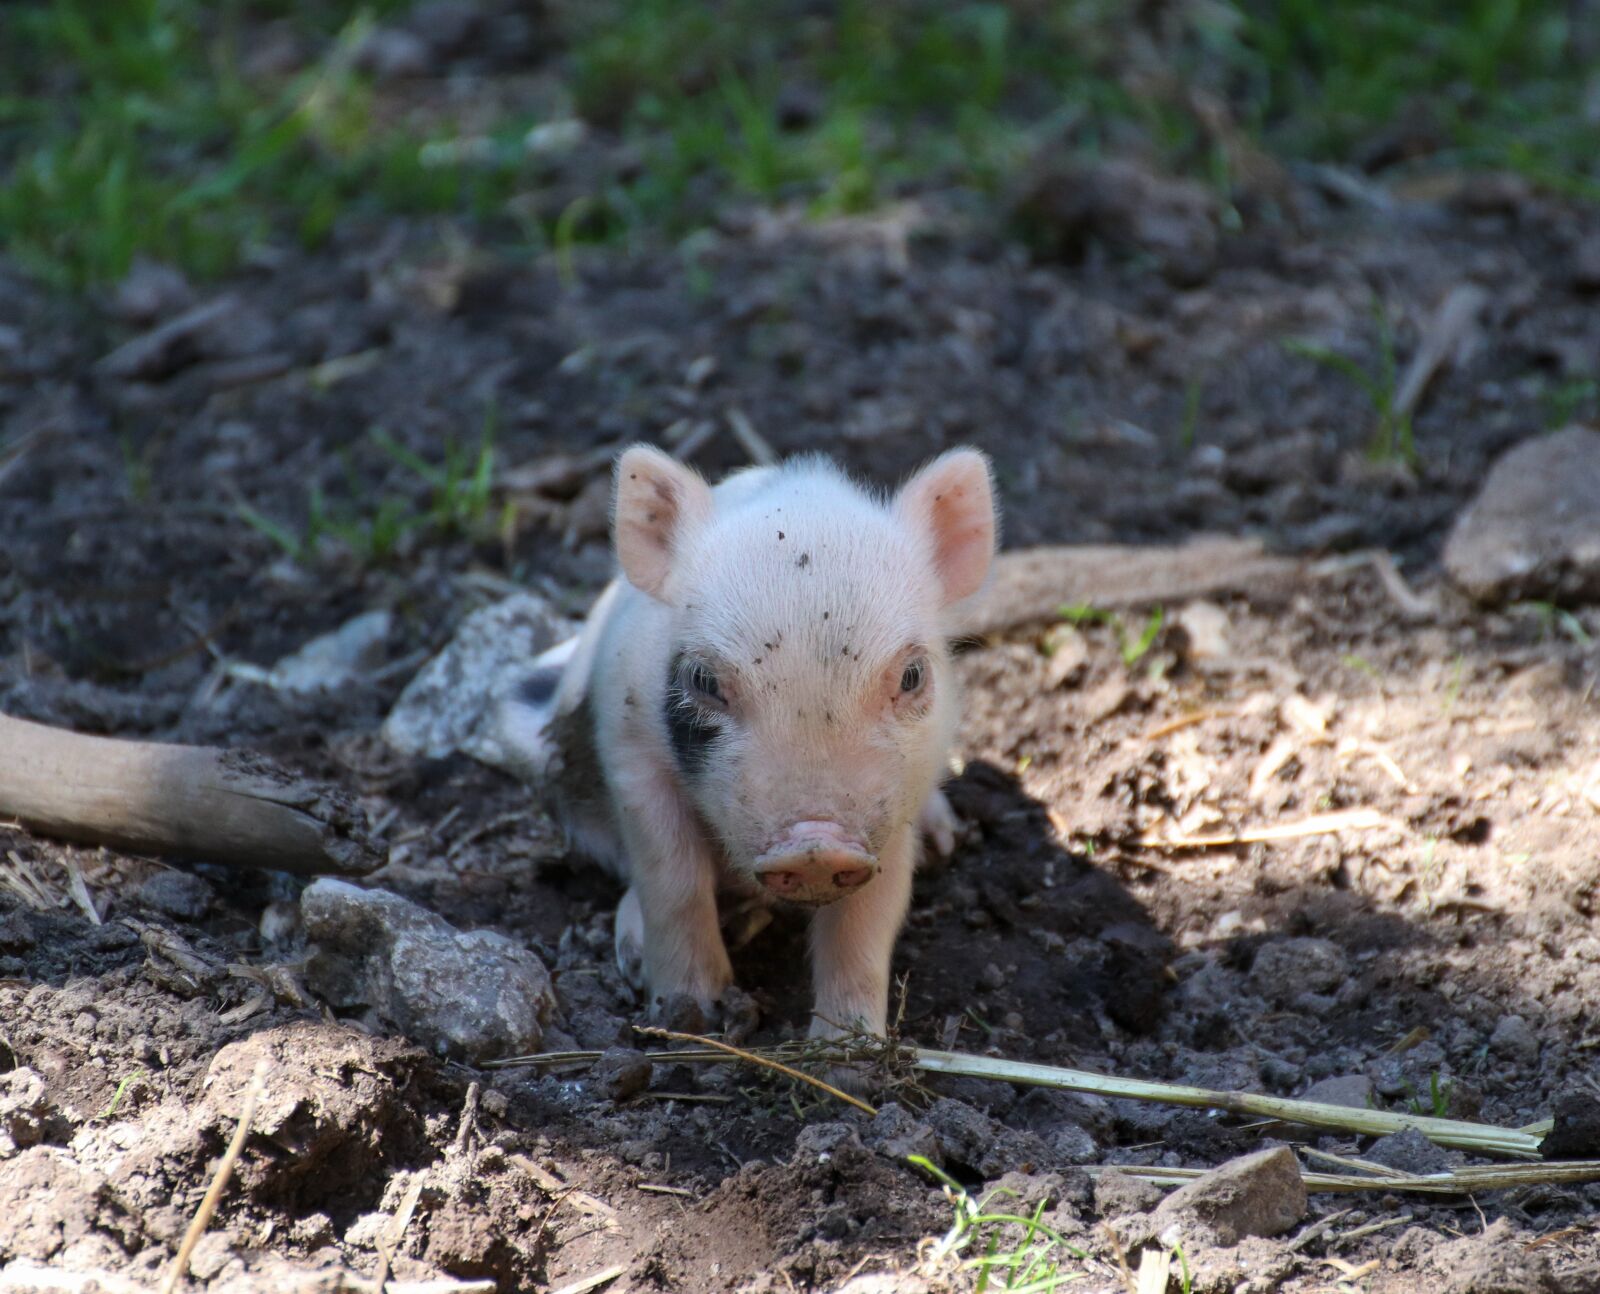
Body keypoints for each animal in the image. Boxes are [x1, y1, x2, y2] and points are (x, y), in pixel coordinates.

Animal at [505, 443, 996, 1042]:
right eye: (703, 680)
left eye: (911, 676)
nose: (815, 844)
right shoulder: (630, 754)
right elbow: (672, 879)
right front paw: (689, 1011)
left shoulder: (898, 799)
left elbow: (868, 917)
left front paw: (848, 1047)